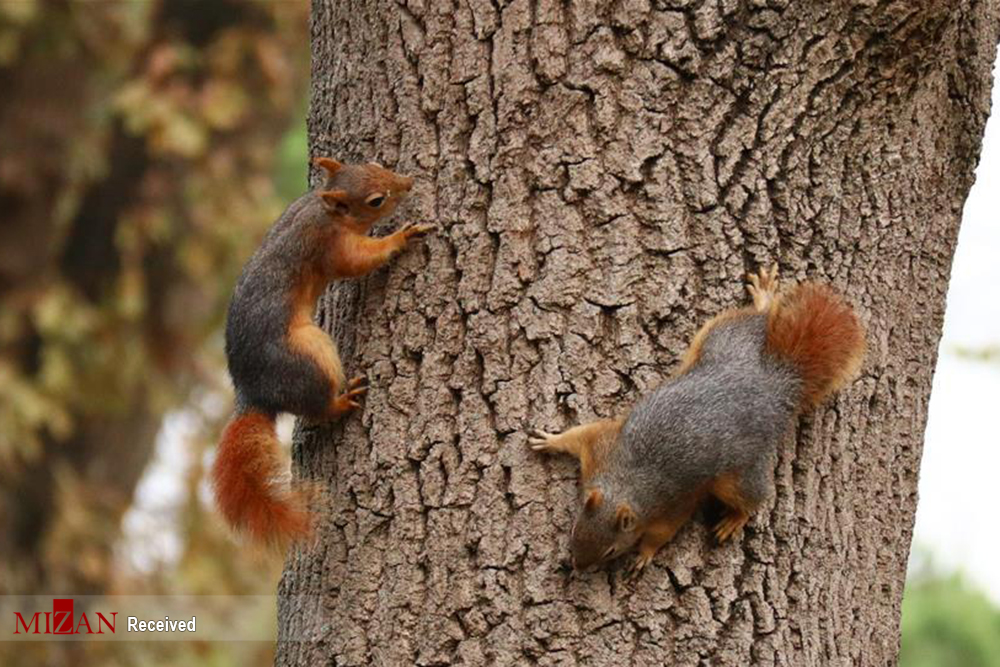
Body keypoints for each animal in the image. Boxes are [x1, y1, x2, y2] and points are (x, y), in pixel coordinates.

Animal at [215, 158, 434, 548]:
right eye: (376, 201)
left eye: (375, 163)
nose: (408, 183)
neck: (324, 211)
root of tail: (253, 392)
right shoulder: (331, 249)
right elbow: (359, 260)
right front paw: (402, 237)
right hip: (311, 353)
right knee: (319, 408)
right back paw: (344, 401)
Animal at [528, 268, 864, 576]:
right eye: (575, 528)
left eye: (611, 550)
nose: (577, 567)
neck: (625, 482)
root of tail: (775, 384)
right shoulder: (601, 448)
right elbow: (580, 434)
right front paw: (549, 440)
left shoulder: (674, 503)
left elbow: (663, 533)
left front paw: (644, 555)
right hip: (724, 335)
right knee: (757, 316)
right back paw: (764, 298)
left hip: (740, 472)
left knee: (754, 497)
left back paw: (734, 519)